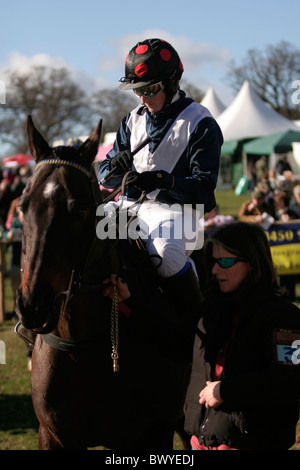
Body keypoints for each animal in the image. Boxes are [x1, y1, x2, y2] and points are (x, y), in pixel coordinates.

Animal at [14, 115, 192, 450]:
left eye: (79, 210)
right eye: (22, 204)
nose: (33, 305)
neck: (82, 343)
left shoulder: (152, 434)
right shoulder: (53, 435)